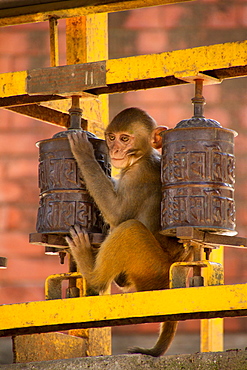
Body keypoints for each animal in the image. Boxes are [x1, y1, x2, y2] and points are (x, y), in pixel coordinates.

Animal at [66, 107, 193, 356]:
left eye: (125, 139)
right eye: (112, 137)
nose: (115, 150)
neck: (141, 157)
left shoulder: (138, 176)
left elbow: (117, 213)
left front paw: (84, 153)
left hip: (151, 269)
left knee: (130, 229)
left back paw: (92, 273)